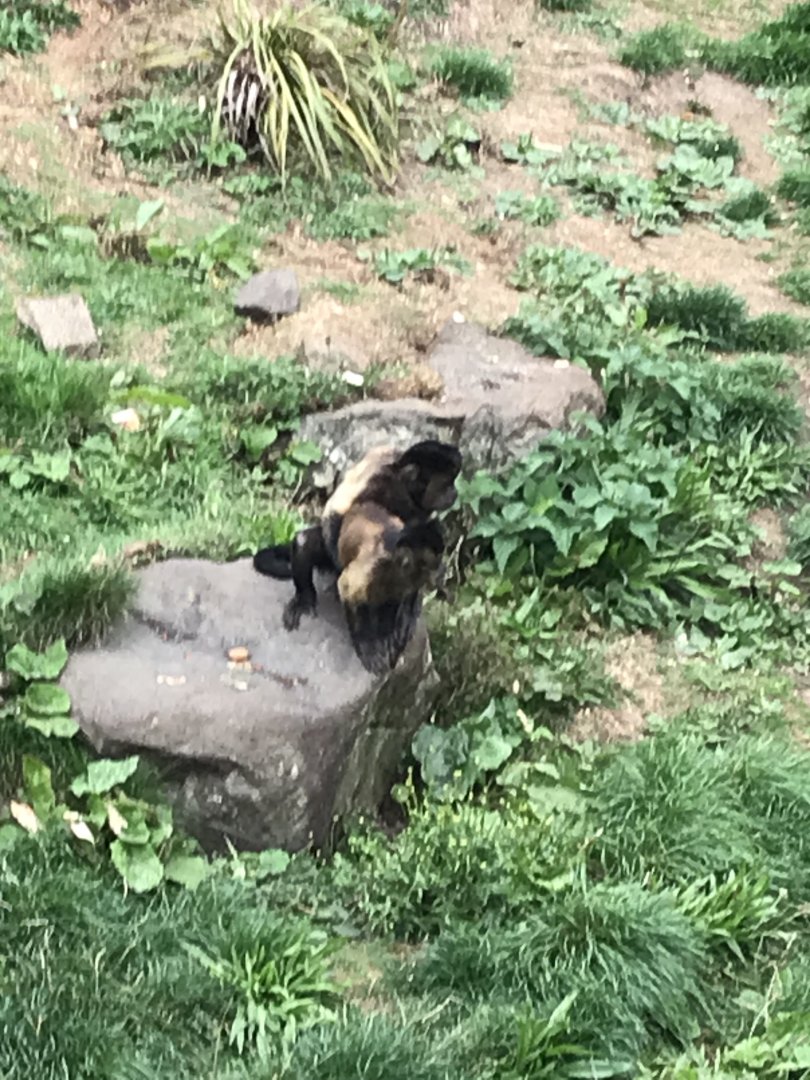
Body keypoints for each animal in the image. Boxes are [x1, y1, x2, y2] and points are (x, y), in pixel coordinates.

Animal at [252, 439, 462, 674]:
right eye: (446, 484)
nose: (454, 492)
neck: (402, 487)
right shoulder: (377, 476)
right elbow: (336, 513)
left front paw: (407, 609)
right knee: (306, 542)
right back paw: (306, 597)